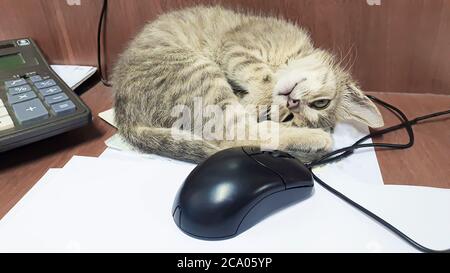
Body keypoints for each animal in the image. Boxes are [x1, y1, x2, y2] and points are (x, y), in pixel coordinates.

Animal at [112, 6, 384, 163]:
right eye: (321, 103)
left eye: (289, 118)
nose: (292, 102)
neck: (288, 56)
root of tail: (124, 117)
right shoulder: (238, 46)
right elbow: (263, 77)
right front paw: (259, 96)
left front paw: (255, 103)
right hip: (198, 71)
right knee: (233, 135)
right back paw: (318, 138)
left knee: (236, 136)